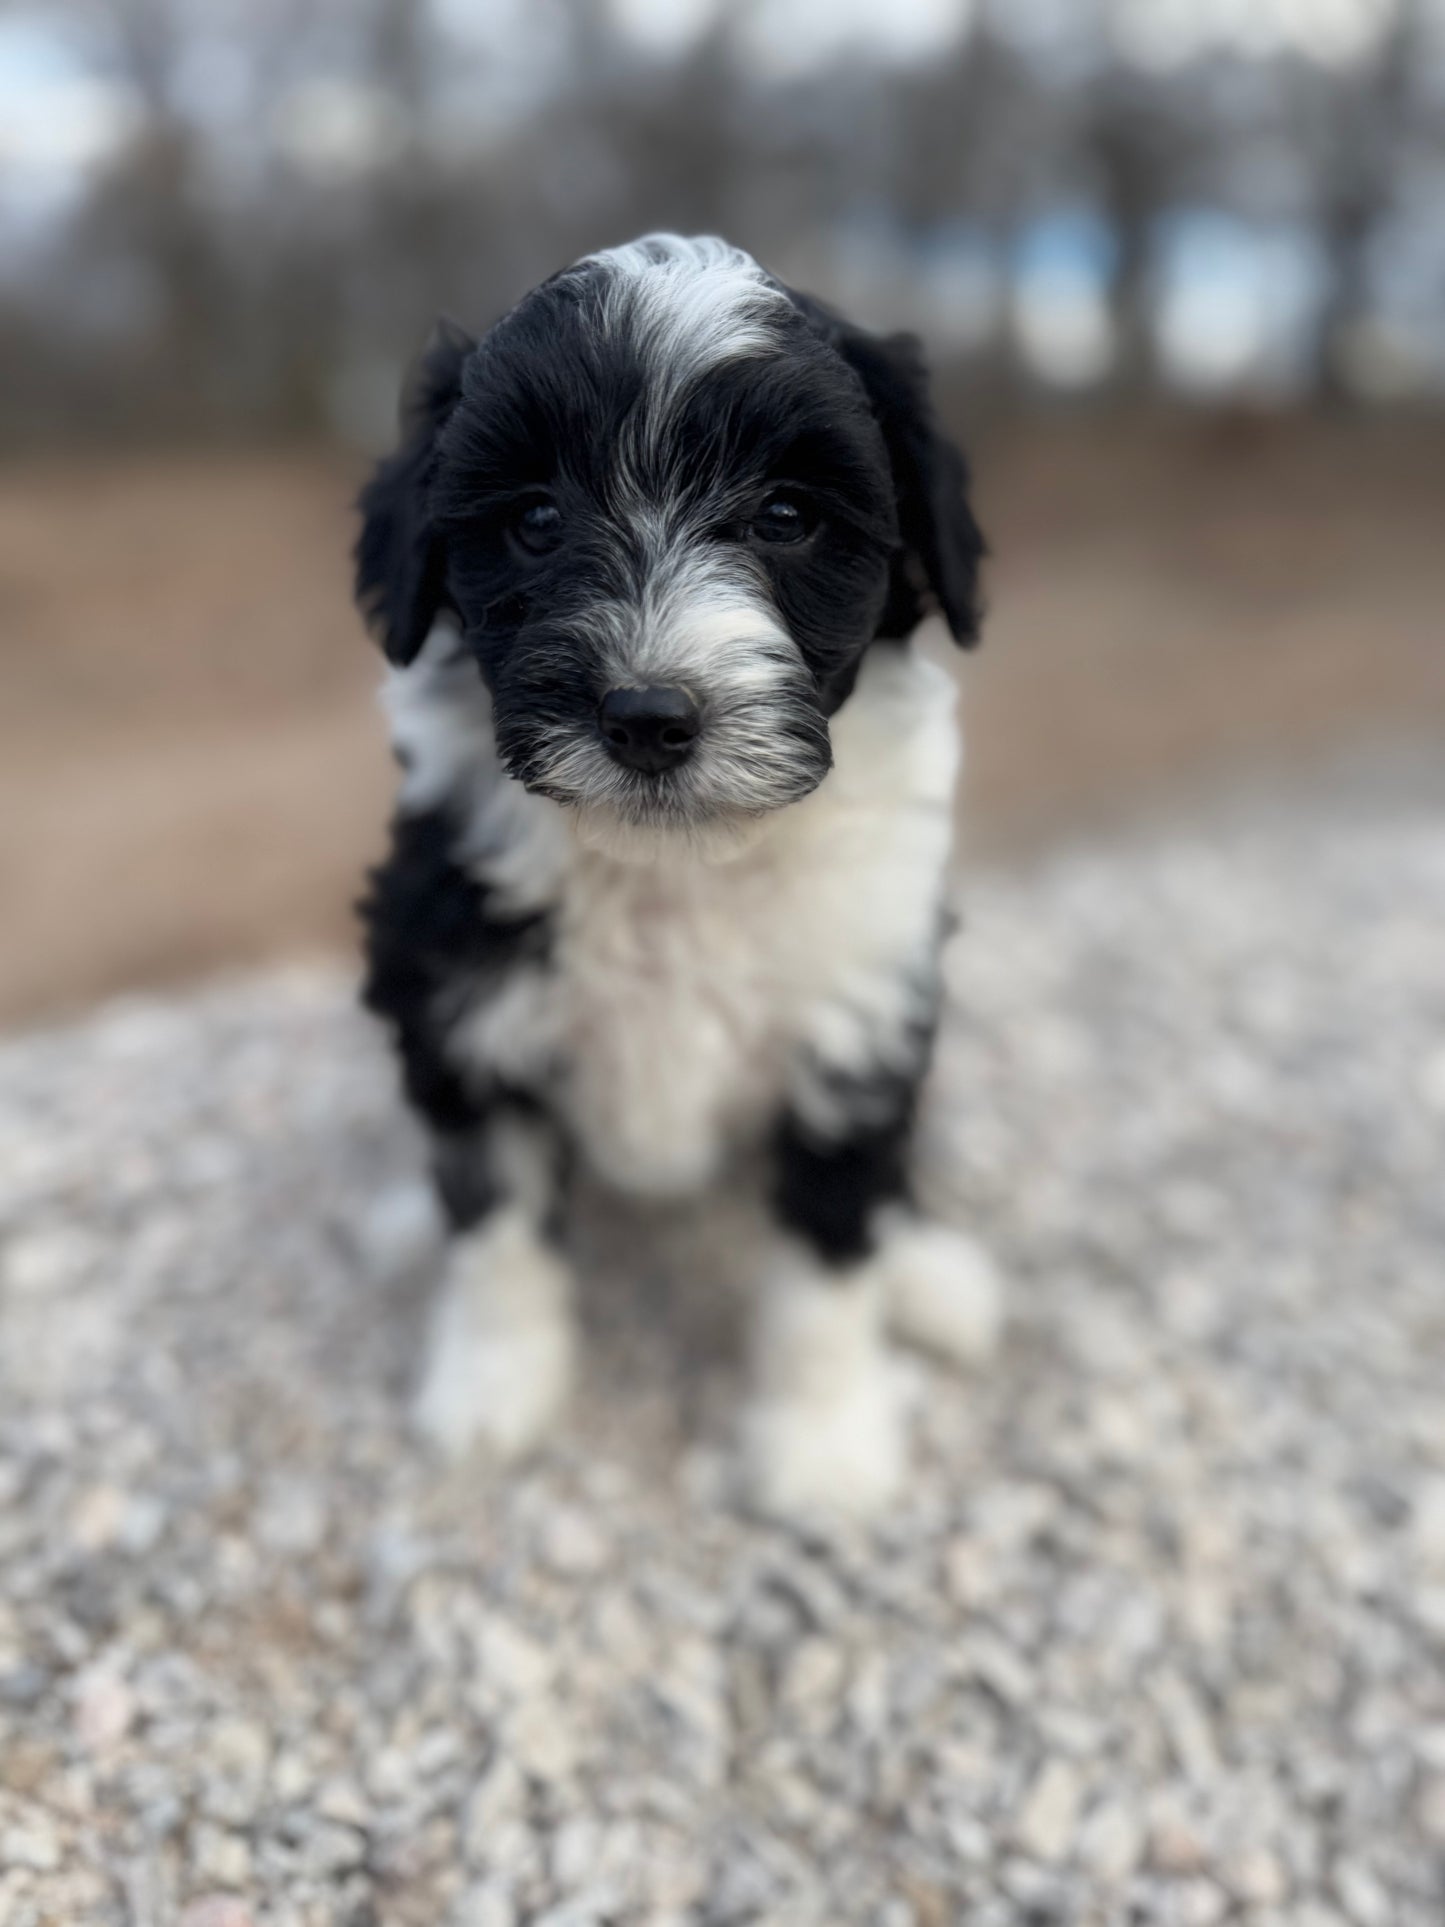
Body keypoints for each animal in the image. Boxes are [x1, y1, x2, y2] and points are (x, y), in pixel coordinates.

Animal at [356, 233, 1001, 1518]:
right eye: (536, 517)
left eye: (787, 514)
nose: (647, 716)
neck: (676, 867)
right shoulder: (459, 998)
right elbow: (495, 1224)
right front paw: (493, 1390)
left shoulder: (856, 1019)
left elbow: (827, 1248)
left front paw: (822, 1444)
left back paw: (927, 1275)